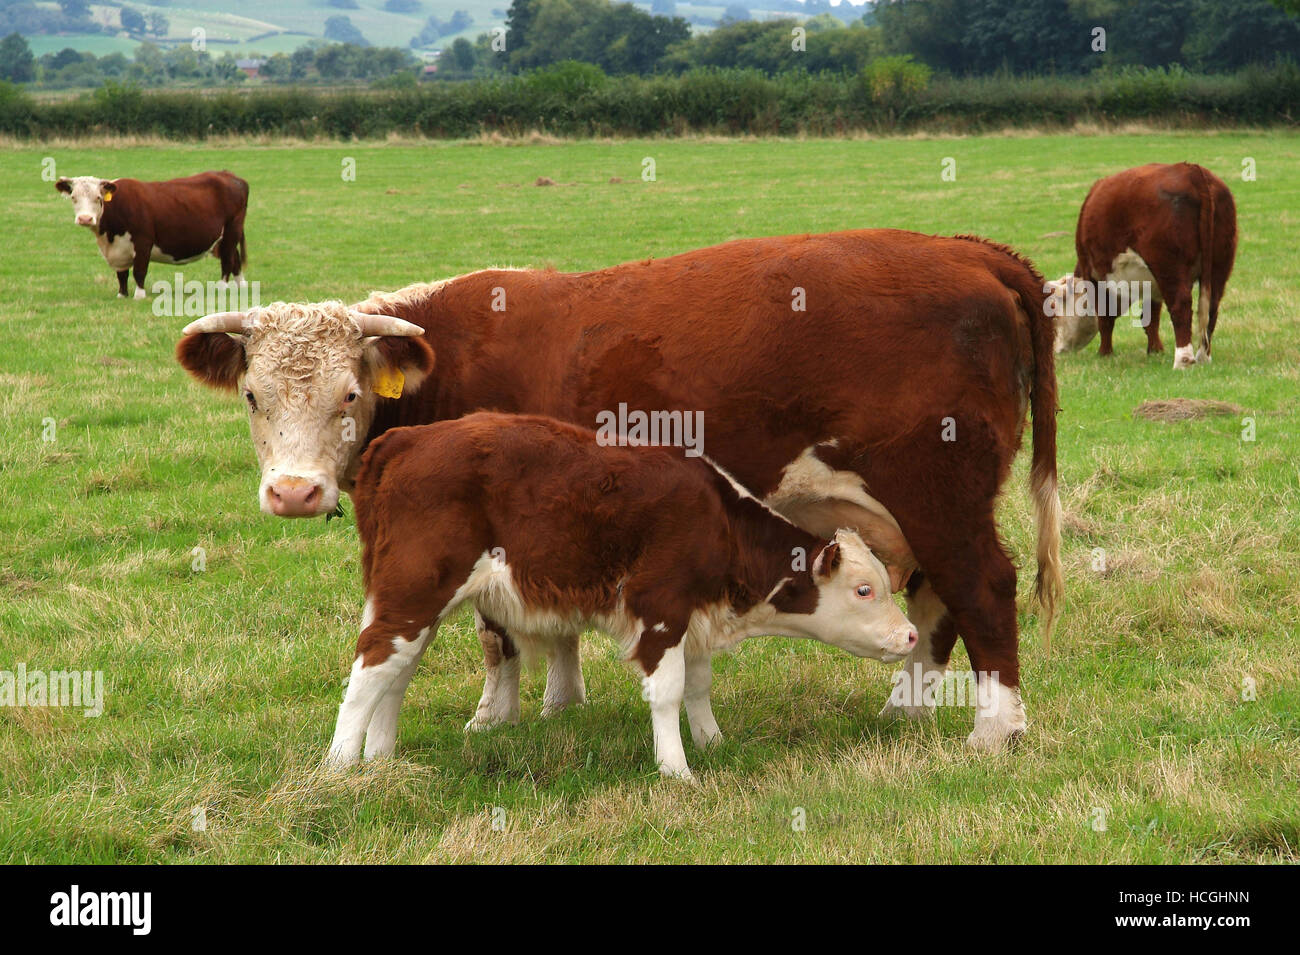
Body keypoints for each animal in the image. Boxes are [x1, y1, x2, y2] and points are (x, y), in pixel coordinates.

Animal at [55, 171, 249, 300]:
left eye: (98, 197)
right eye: (73, 197)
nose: (85, 218)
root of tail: (229, 175)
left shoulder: (143, 242)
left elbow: (139, 271)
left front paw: (139, 295)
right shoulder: (119, 249)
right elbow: (122, 275)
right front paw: (122, 294)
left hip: (232, 229)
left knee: (227, 260)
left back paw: (222, 287)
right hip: (224, 237)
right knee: (235, 258)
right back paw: (241, 285)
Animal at [327, 412, 919, 778]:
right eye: (864, 589)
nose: (910, 634)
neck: (718, 519)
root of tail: (405, 438)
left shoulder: (695, 617)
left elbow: (699, 685)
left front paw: (713, 743)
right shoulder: (661, 609)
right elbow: (669, 692)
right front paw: (677, 770)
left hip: (414, 602)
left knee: (395, 673)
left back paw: (381, 759)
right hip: (414, 592)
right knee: (370, 669)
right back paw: (341, 769)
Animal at [1047, 162, 1237, 369]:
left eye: (1054, 310)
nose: (1056, 350)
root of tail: (1192, 171)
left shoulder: (1096, 276)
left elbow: (1105, 318)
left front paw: (1104, 353)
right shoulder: (1151, 283)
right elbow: (1151, 319)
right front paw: (1154, 350)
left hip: (1168, 267)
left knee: (1181, 305)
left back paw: (1183, 360)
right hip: (1219, 266)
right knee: (1211, 307)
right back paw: (1204, 356)